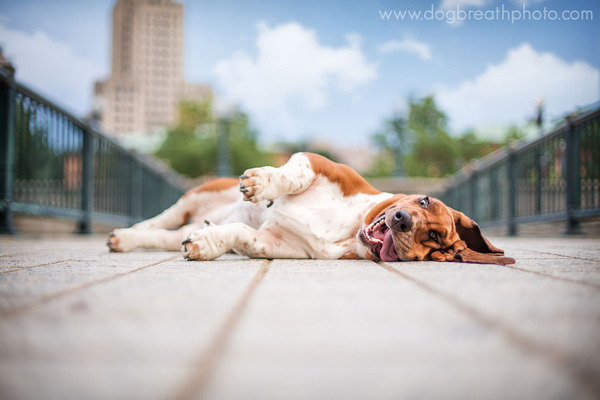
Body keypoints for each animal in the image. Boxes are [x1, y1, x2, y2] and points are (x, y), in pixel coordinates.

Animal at [106, 152, 516, 264]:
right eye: (423, 200)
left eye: (433, 237)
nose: (401, 220)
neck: (350, 226)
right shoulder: (323, 164)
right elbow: (293, 173)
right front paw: (262, 184)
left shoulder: (276, 245)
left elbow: (240, 234)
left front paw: (207, 244)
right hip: (191, 199)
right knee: (156, 221)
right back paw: (126, 234)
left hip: (182, 225)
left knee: (164, 235)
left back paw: (127, 241)